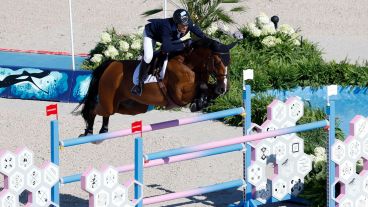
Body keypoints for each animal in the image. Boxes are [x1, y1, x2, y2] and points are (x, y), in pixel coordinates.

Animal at [74, 38, 236, 137]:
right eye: (217, 62)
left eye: (229, 61)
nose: (224, 89)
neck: (189, 65)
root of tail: (111, 64)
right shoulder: (179, 96)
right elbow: (201, 88)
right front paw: (198, 103)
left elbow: (207, 89)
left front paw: (203, 101)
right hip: (110, 99)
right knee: (95, 110)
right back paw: (89, 132)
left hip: (132, 107)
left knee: (107, 113)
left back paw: (103, 131)